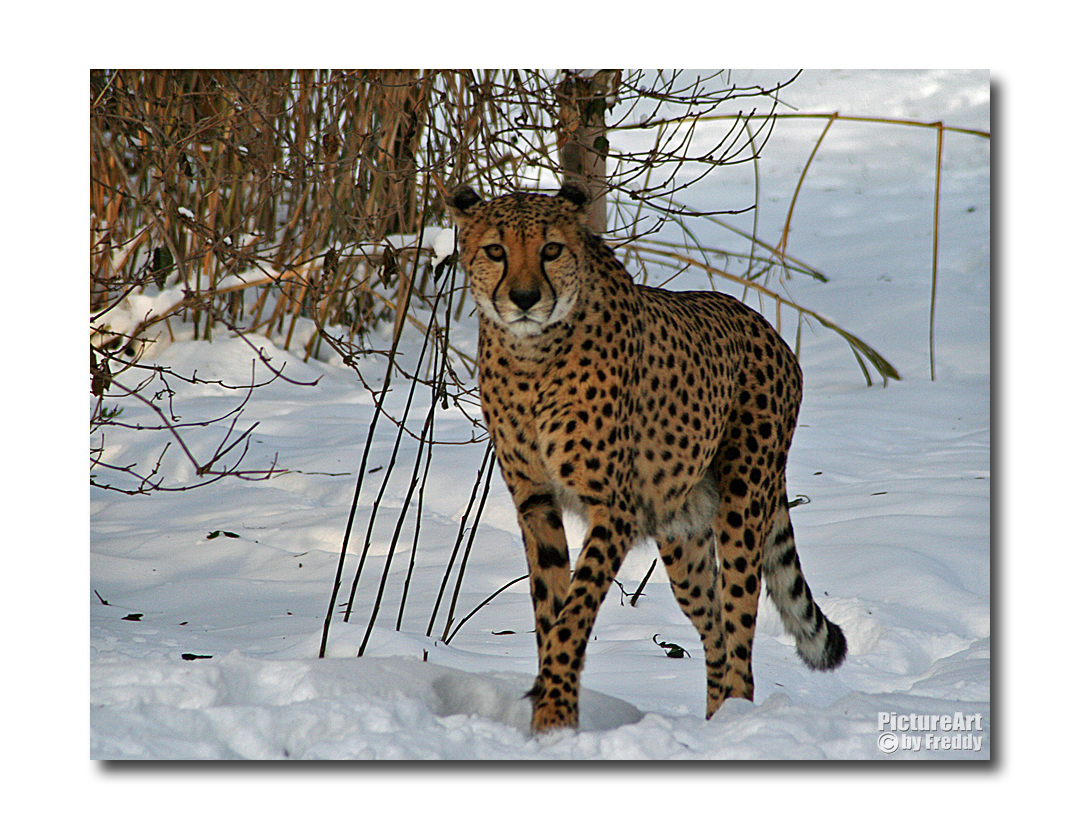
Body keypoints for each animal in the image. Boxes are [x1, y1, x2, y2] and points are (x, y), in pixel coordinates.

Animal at [447, 183, 842, 734]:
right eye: (495, 251)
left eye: (551, 249)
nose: (524, 299)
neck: (533, 354)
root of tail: (765, 326)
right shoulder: (536, 503)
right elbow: (550, 610)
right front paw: (554, 715)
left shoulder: (614, 509)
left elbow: (574, 612)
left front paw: (554, 711)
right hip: (683, 540)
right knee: (715, 628)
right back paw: (715, 719)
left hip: (742, 509)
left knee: (739, 626)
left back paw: (735, 721)